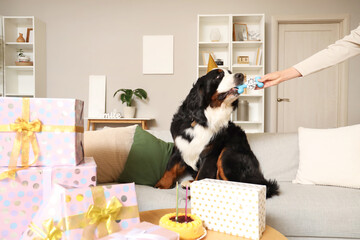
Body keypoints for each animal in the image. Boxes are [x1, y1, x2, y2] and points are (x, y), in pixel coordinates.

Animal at [154, 68, 278, 198]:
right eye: (218, 76)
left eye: (230, 72)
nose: (240, 75)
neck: (204, 120)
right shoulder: (180, 146)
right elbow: (170, 168)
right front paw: (160, 185)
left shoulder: (210, 154)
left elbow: (203, 174)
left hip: (228, 153)